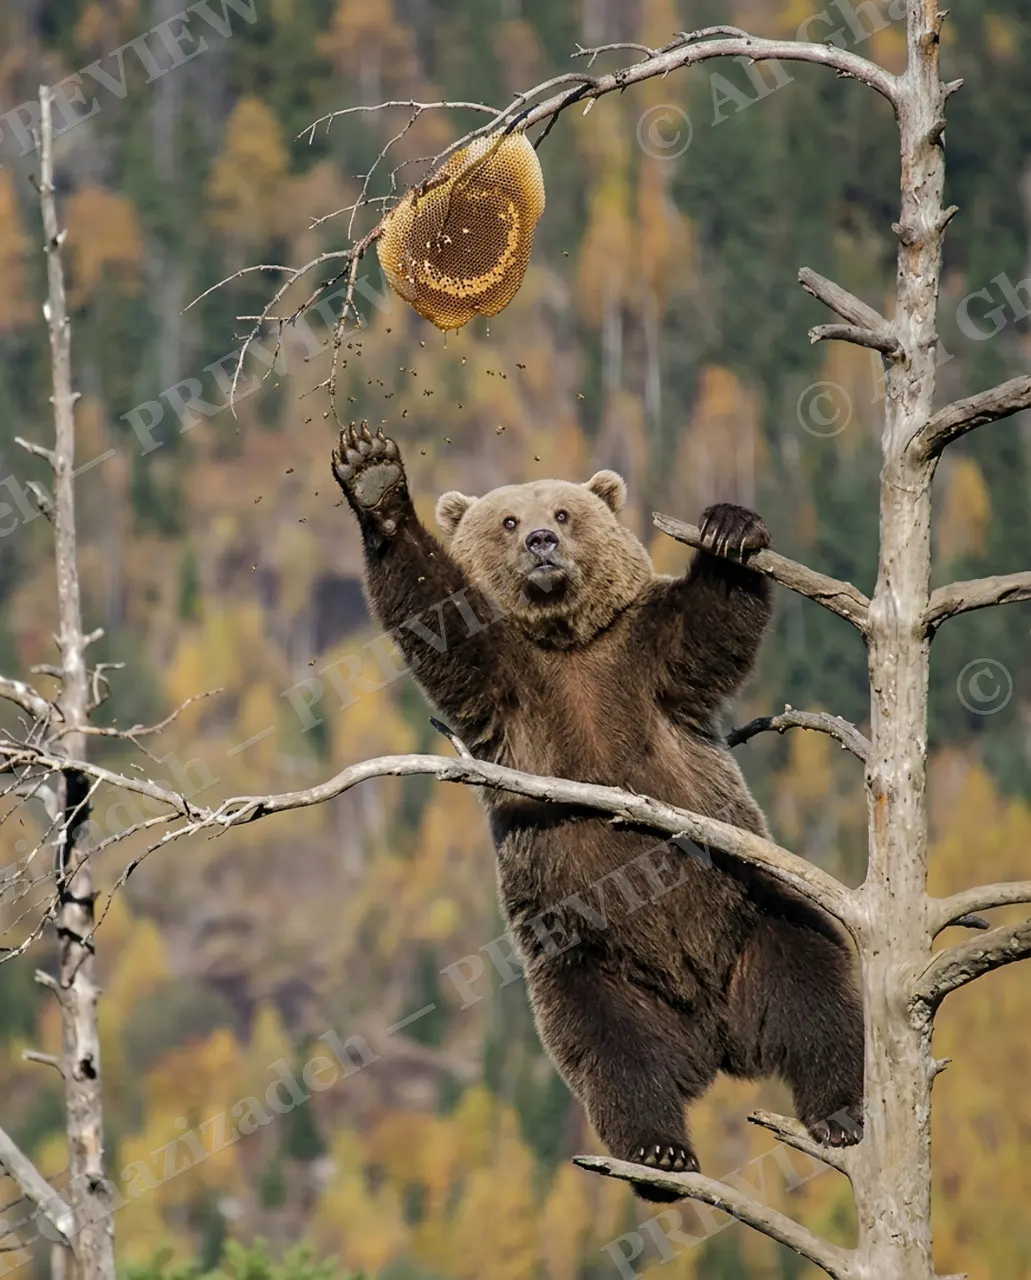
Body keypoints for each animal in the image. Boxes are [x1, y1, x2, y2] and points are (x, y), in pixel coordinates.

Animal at [332, 421, 864, 1201]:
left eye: (563, 511)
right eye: (508, 520)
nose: (541, 543)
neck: (568, 641)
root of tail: (717, 1033)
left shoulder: (645, 661)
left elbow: (711, 628)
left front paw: (728, 529)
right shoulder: (508, 687)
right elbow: (437, 618)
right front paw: (372, 479)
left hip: (760, 916)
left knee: (817, 996)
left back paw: (839, 1114)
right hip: (588, 965)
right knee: (614, 1058)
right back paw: (658, 1155)